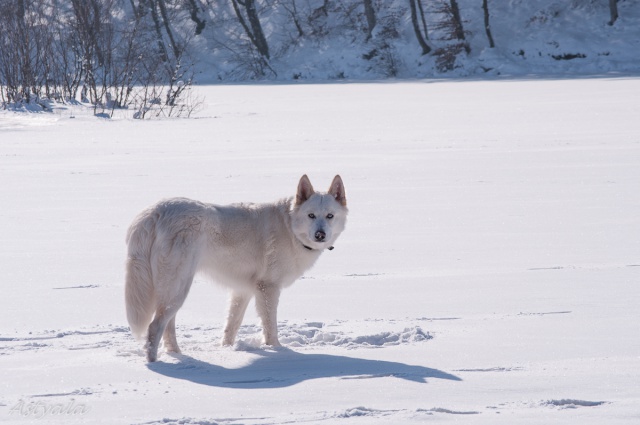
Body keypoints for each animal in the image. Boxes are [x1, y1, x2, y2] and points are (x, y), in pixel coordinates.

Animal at [124, 174, 344, 360]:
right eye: (311, 215)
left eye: (330, 216)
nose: (320, 235)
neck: (289, 227)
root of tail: (155, 212)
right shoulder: (268, 288)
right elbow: (270, 327)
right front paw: (278, 351)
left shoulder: (242, 290)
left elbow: (232, 324)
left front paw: (227, 349)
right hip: (178, 288)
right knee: (155, 326)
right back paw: (156, 362)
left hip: (172, 291)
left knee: (167, 325)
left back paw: (177, 354)